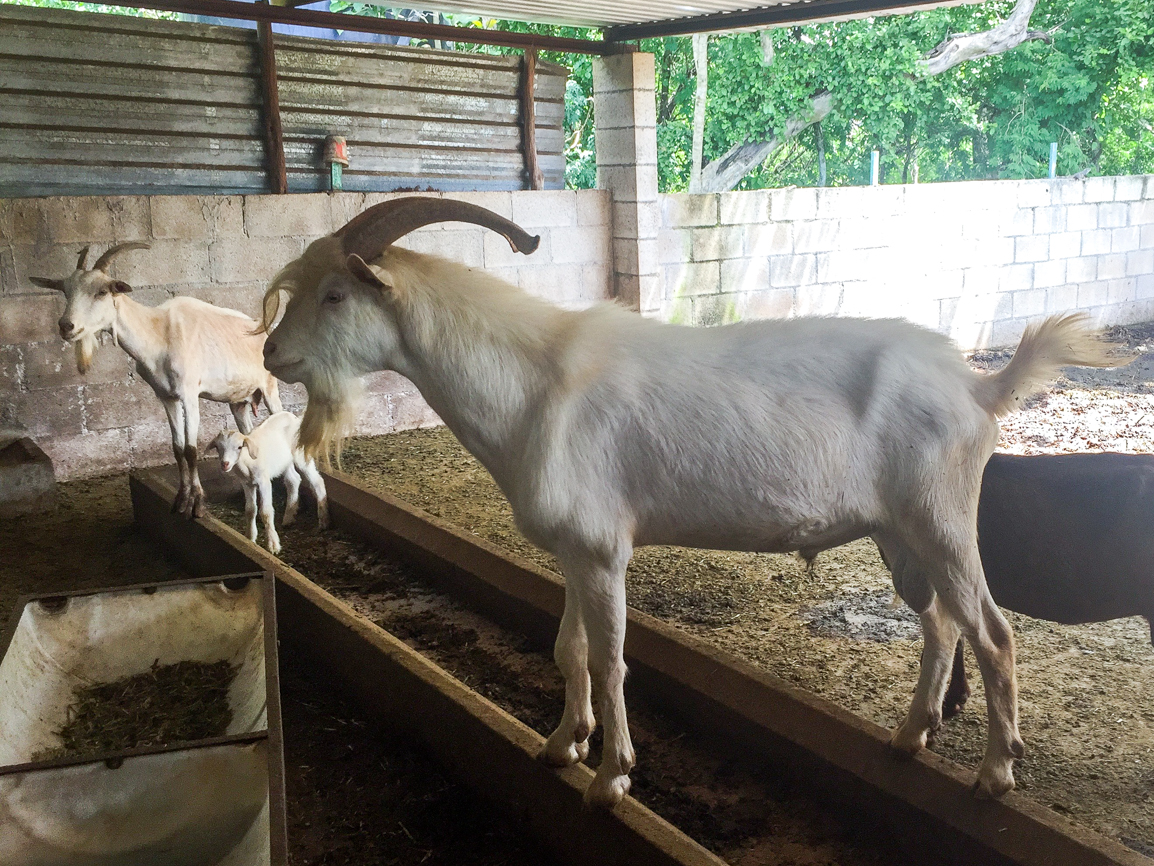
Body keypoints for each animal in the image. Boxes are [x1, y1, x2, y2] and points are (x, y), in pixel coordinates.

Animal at [30, 241, 282, 519]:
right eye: (65, 290)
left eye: (102, 291)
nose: (66, 326)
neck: (158, 333)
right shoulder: (166, 396)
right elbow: (177, 448)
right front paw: (180, 500)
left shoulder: (189, 394)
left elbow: (192, 450)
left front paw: (197, 504)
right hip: (239, 400)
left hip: (269, 388)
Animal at [210, 408, 330, 556]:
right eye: (217, 447)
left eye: (239, 447)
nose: (225, 464)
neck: (247, 462)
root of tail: (292, 417)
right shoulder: (247, 483)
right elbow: (250, 509)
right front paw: (250, 538)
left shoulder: (264, 481)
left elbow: (266, 512)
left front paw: (273, 545)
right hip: (284, 461)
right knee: (293, 480)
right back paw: (288, 518)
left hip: (300, 454)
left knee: (317, 481)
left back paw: (323, 521)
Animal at [257, 199, 1121, 812]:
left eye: (335, 294)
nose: (271, 354)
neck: (533, 382)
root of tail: (980, 385)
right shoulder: (573, 548)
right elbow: (567, 648)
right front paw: (560, 745)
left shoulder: (602, 547)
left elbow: (609, 658)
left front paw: (611, 779)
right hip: (898, 533)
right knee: (940, 624)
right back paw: (908, 740)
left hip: (941, 518)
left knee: (995, 635)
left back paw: (995, 775)